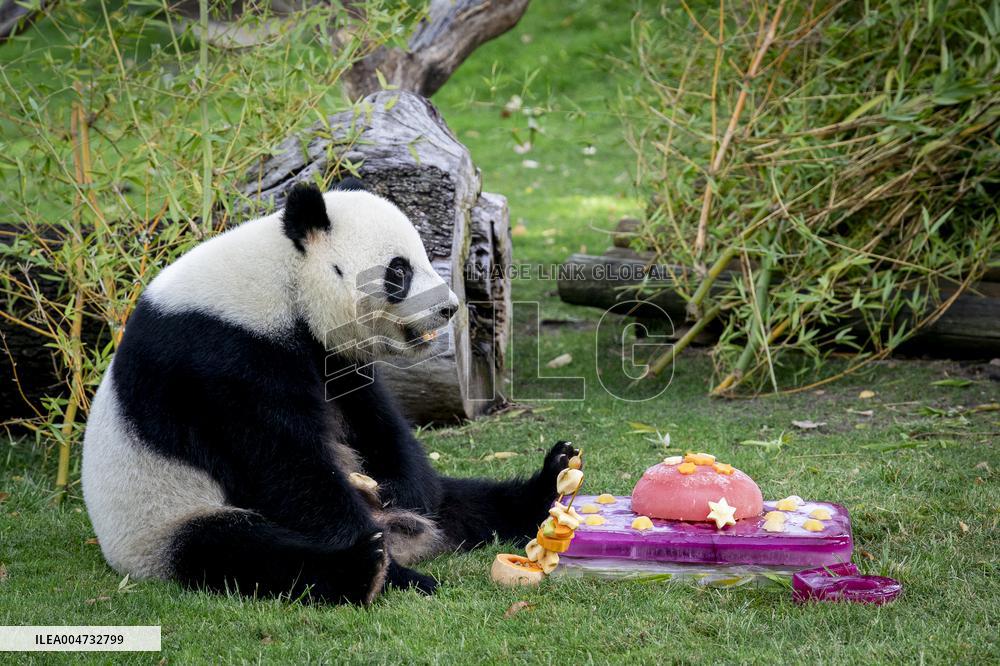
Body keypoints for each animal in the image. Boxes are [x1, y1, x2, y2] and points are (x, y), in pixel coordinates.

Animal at [81, 179, 578, 604]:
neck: (283, 283)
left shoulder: (333, 355)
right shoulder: (219, 357)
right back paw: (372, 569)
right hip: (165, 519)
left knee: (463, 501)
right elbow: (285, 466)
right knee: (240, 553)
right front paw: (365, 542)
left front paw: (401, 489)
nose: (449, 308)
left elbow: (376, 422)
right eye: (399, 270)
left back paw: (547, 484)